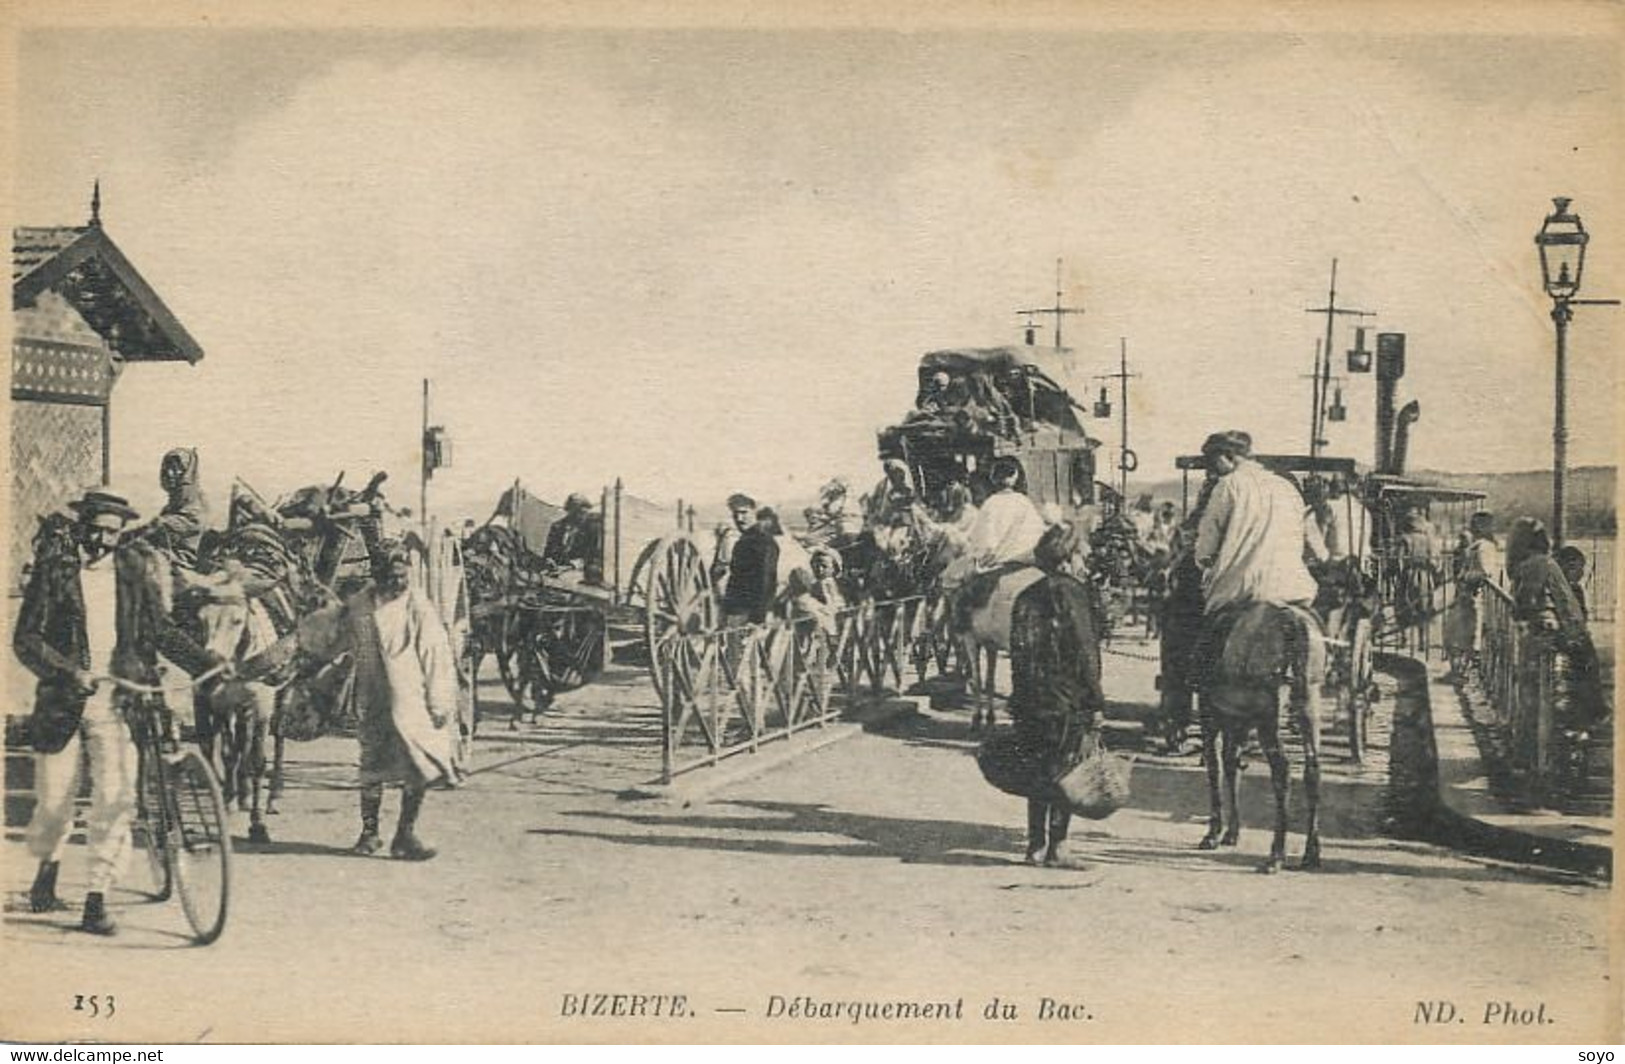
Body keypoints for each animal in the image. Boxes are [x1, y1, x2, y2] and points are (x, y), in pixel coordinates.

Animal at [1202, 604, 1326, 877]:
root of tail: (1292, 621)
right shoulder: (1238, 721)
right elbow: (1232, 767)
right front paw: (1232, 832)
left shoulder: (1211, 717)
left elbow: (1215, 770)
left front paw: (1213, 833)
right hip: (1310, 703)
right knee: (1312, 770)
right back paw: (1311, 854)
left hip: (1268, 718)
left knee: (1282, 771)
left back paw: (1276, 855)